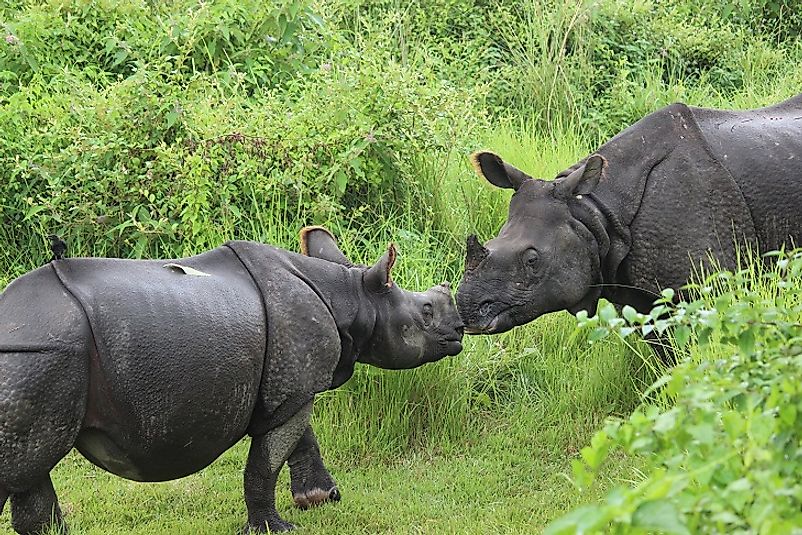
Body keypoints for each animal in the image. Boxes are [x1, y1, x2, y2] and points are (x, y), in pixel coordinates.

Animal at [0, 228, 462, 532]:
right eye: (425, 312)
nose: (460, 330)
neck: (352, 296)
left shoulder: (292, 386)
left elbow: (300, 438)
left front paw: (320, 499)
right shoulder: (294, 386)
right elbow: (266, 460)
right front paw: (276, 528)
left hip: (42, 356)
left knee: (31, 467)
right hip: (38, 354)